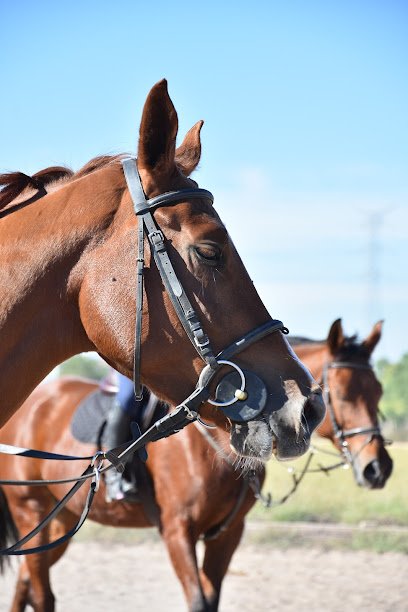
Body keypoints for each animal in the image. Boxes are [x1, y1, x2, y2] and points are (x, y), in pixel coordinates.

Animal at [0, 320, 390, 612]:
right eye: (341, 394)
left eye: (378, 391)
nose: (378, 468)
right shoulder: (177, 530)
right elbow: (198, 601)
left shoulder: (226, 534)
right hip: (31, 511)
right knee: (41, 594)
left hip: (59, 520)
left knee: (25, 584)